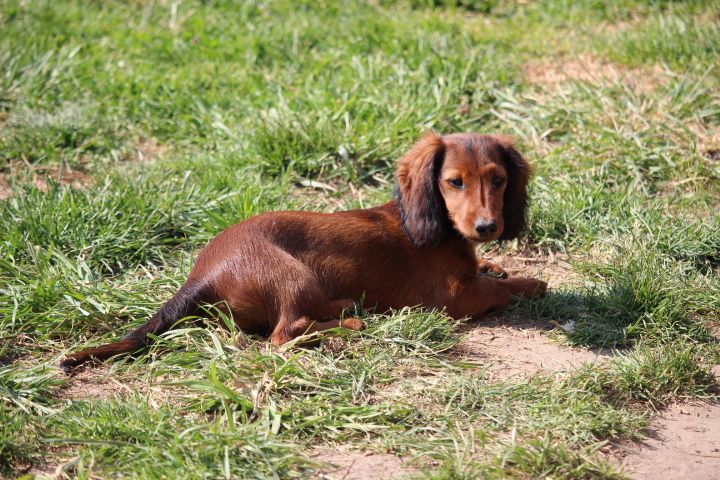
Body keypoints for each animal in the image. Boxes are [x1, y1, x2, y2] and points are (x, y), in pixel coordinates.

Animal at [60, 133, 544, 374]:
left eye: (498, 179)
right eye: (455, 182)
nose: (488, 227)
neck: (432, 223)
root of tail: (202, 275)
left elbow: (490, 272)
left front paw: (493, 262)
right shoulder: (456, 298)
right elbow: (504, 288)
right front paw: (533, 282)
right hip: (290, 274)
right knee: (283, 336)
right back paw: (350, 321)